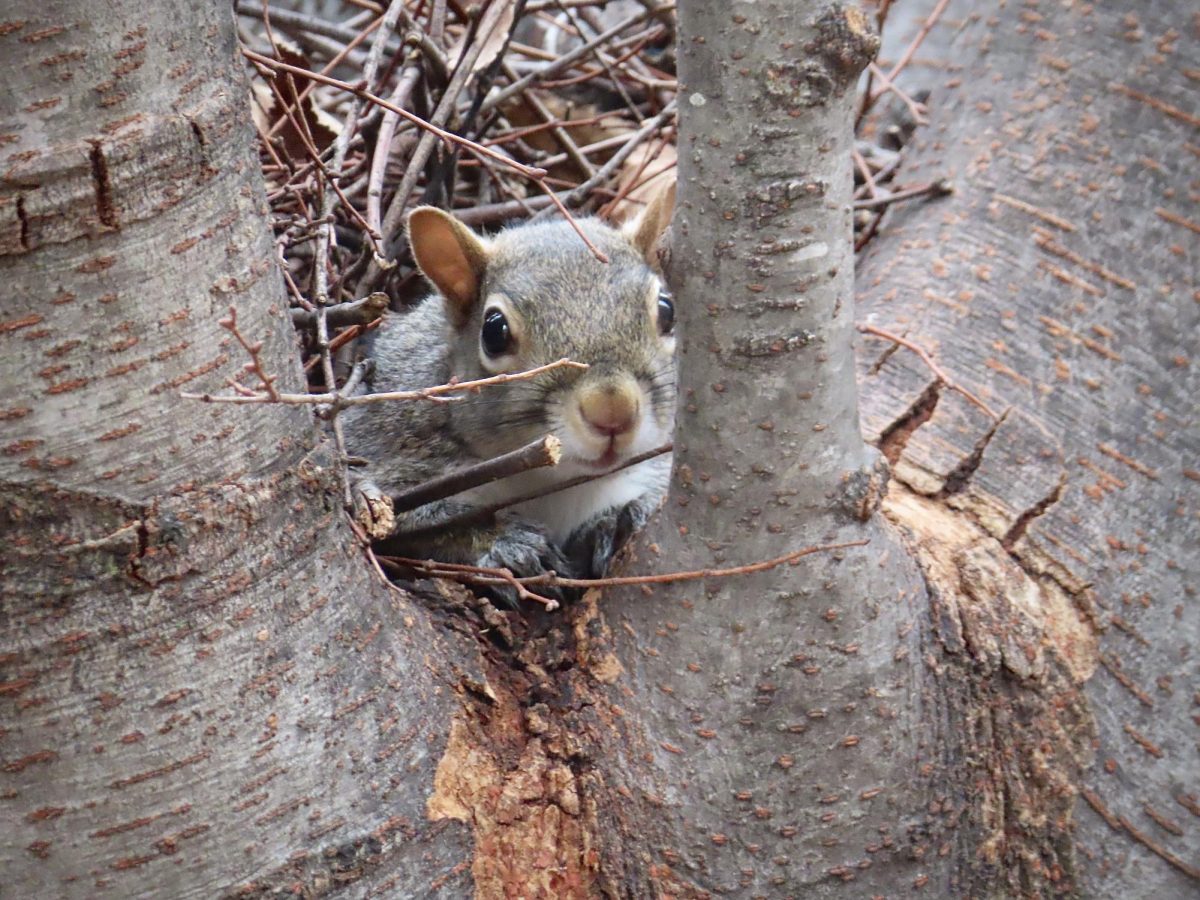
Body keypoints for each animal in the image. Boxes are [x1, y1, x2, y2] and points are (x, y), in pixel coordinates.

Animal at [343, 183, 676, 600]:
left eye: (668, 310)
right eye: (494, 331)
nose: (612, 411)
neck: (552, 482)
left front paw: (614, 520)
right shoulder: (386, 456)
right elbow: (414, 523)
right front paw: (507, 544)